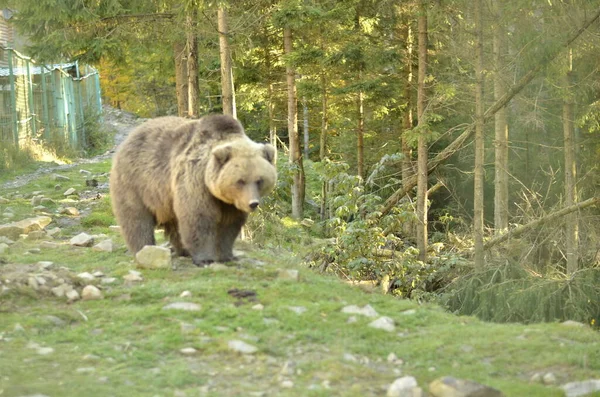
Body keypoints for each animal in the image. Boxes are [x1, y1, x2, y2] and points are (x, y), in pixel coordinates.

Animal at [110, 113, 276, 264]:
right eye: (240, 181)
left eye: (260, 180)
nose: (252, 203)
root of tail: (130, 137)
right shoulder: (195, 182)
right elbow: (198, 217)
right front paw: (205, 259)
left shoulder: (230, 203)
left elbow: (229, 225)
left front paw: (227, 255)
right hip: (136, 182)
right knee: (136, 219)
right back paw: (144, 249)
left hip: (166, 197)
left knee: (174, 223)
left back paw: (183, 250)